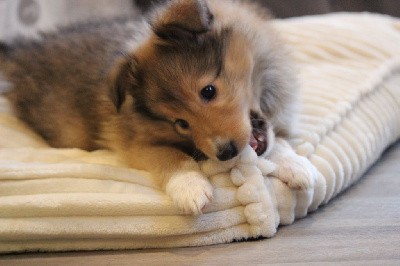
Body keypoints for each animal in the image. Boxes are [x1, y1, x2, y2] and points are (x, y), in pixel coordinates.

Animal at [1, 0, 318, 215]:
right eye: (180, 123)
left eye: (208, 91)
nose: (226, 153)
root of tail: (21, 52)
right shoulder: (133, 143)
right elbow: (168, 156)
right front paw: (190, 187)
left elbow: (278, 142)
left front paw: (297, 166)